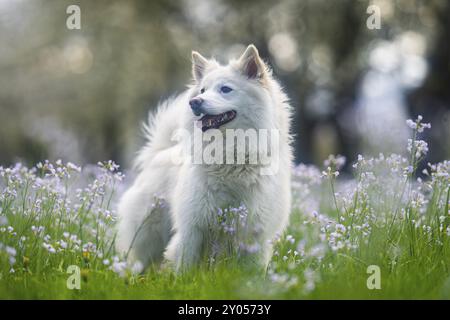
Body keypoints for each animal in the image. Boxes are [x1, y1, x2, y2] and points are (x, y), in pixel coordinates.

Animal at [116, 43, 292, 272]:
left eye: (225, 89)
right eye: (202, 90)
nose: (194, 102)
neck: (231, 157)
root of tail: (160, 152)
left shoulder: (256, 234)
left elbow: (252, 270)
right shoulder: (192, 227)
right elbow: (185, 264)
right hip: (147, 234)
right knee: (139, 261)